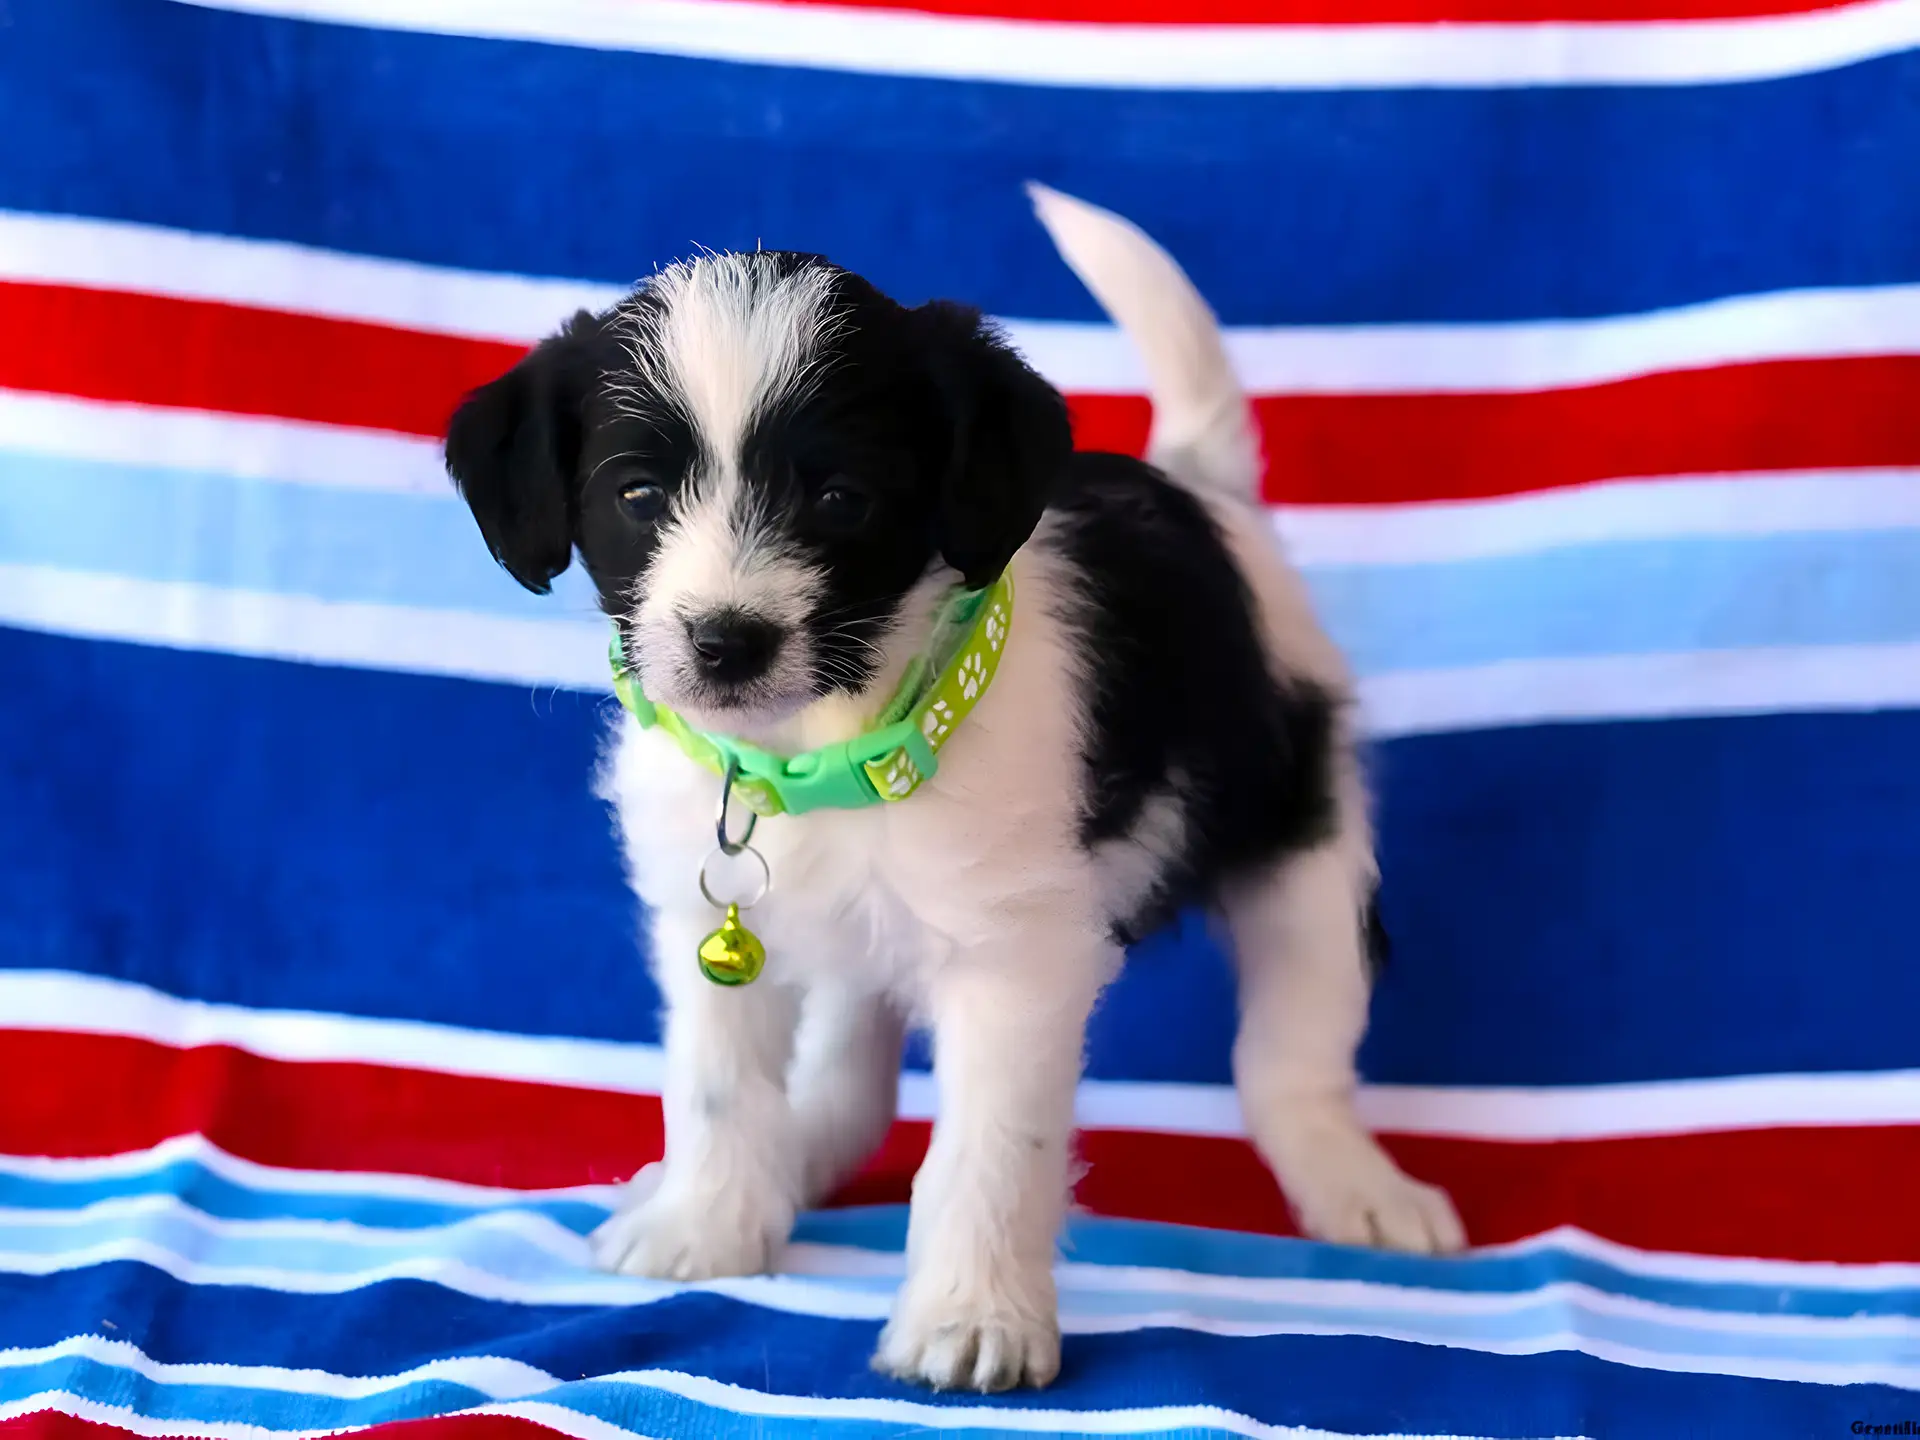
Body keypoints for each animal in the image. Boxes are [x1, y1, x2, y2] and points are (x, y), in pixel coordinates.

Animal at [441, 186, 1459, 1390]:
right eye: (636, 495)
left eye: (841, 498)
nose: (726, 642)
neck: (820, 758)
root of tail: (1207, 493)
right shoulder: (708, 930)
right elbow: (715, 1083)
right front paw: (707, 1223)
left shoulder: (1016, 968)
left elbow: (987, 1151)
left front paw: (973, 1317)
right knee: (848, 1083)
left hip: (1307, 855)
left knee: (1291, 1059)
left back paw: (1358, 1187)